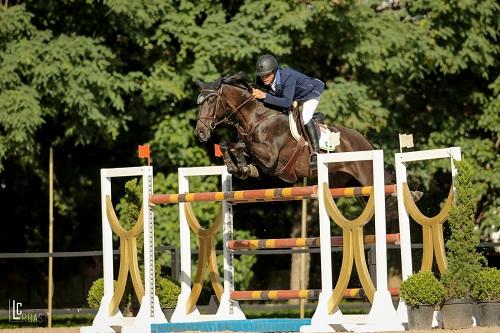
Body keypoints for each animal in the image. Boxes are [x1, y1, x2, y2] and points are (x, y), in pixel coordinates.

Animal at [194, 71, 378, 188]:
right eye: (199, 102)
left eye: (211, 101)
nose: (200, 133)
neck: (259, 117)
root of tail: (366, 142)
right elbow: (227, 144)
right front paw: (239, 168)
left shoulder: (270, 155)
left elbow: (240, 145)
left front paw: (240, 166)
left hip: (367, 177)